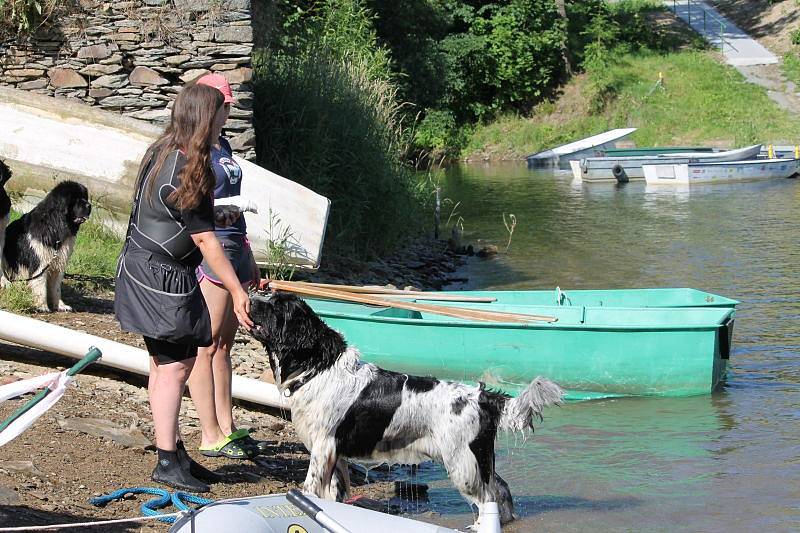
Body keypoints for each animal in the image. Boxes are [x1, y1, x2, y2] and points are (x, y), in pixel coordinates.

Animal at [1, 181, 90, 310]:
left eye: (85, 198)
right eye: (77, 200)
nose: (89, 206)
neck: (55, 225)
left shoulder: (58, 263)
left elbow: (56, 288)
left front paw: (60, 305)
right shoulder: (41, 261)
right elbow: (40, 285)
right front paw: (42, 306)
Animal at [250, 294, 564, 524]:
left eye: (276, 306)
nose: (250, 298)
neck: (318, 367)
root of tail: (482, 397)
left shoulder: (324, 446)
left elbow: (310, 488)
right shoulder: (334, 455)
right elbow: (332, 494)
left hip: (462, 464)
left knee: (487, 499)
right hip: (477, 459)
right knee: (500, 489)